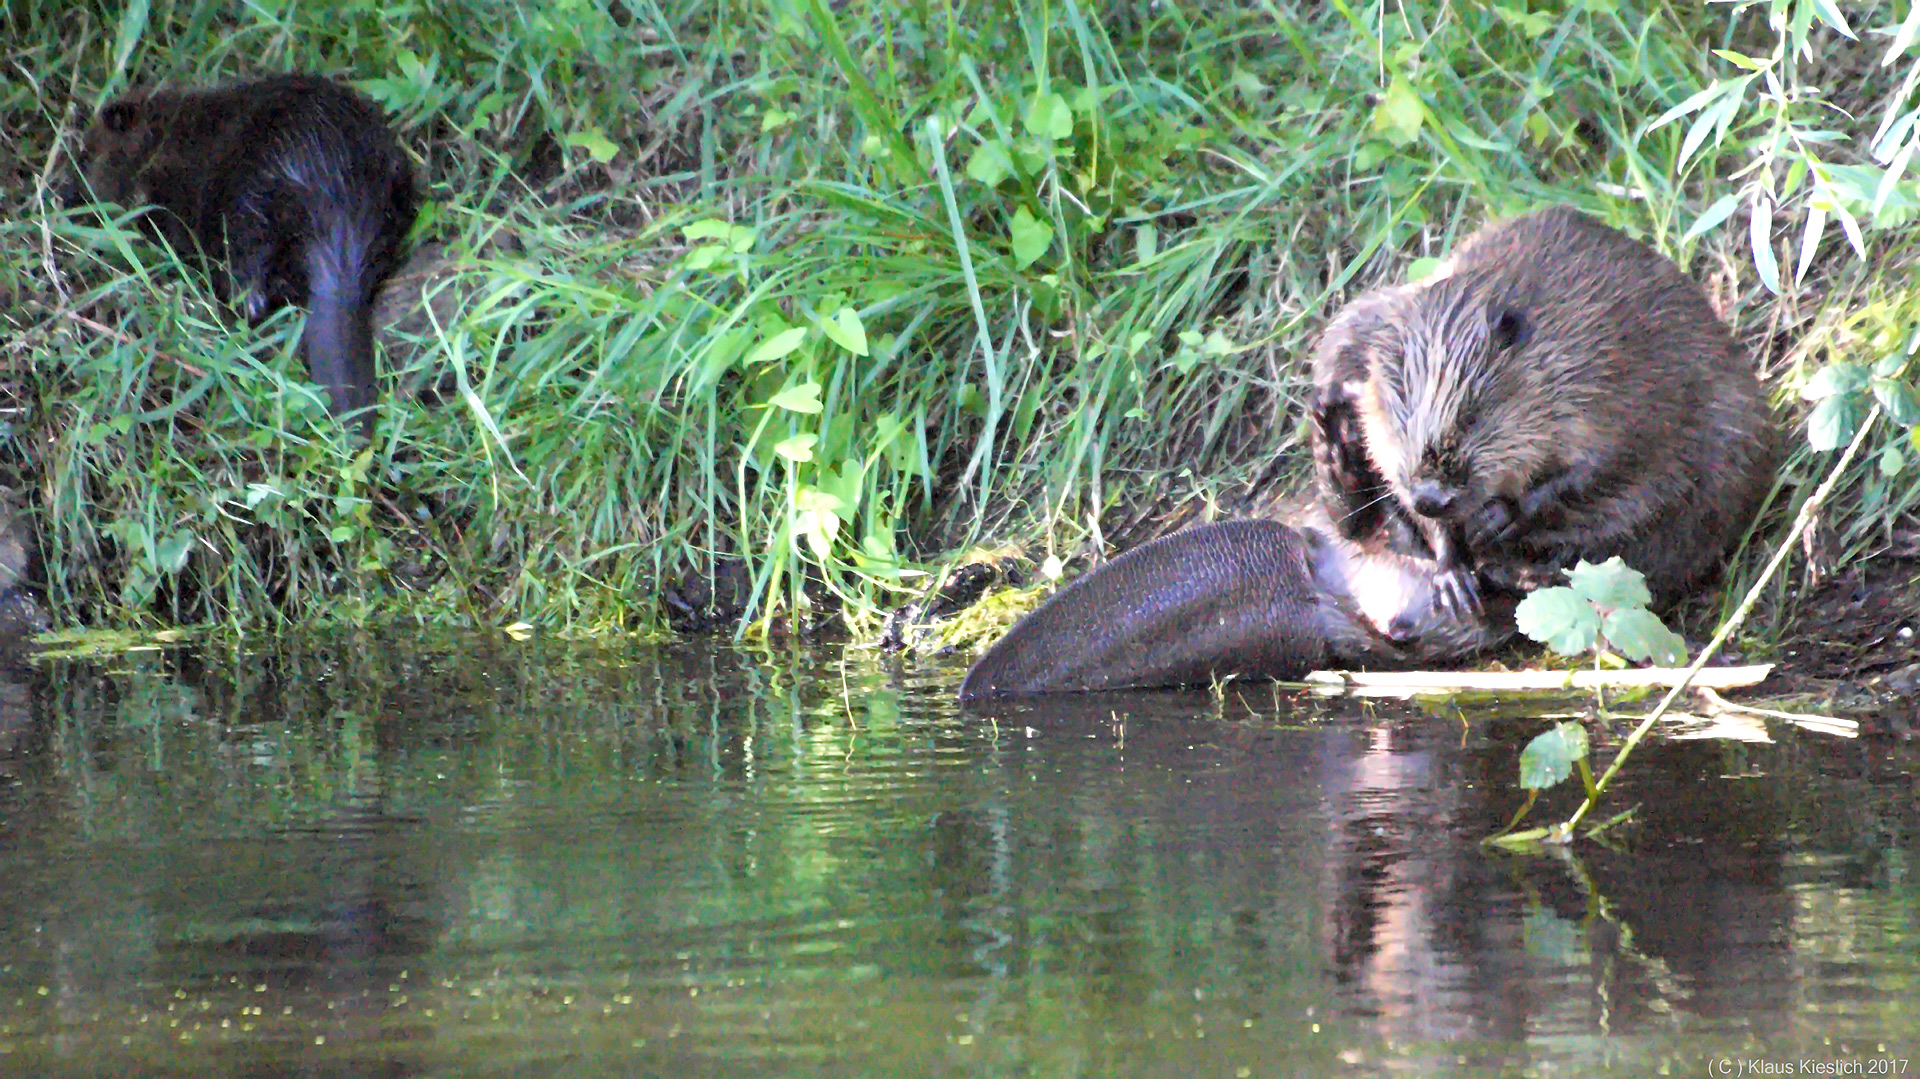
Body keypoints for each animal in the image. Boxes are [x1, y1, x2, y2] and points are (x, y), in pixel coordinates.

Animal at [1305, 205, 1766, 618]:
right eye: (1401, 423)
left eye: (1472, 415)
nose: (1432, 498)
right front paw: (1452, 576)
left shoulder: (1614, 379)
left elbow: (1604, 467)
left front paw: (1497, 519)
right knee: (1356, 524)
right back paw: (1332, 427)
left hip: (1728, 466)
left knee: (1659, 558)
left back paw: (1524, 570)